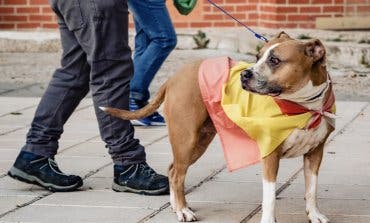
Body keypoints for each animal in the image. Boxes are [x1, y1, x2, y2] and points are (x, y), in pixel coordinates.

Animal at [101, 31, 336, 223]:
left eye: (274, 60)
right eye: (257, 57)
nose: (244, 74)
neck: (305, 107)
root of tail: (174, 77)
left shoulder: (315, 153)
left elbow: (312, 189)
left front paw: (314, 214)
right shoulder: (271, 155)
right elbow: (269, 197)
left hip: (198, 141)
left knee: (173, 169)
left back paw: (176, 206)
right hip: (186, 139)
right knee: (177, 175)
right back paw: (183, 210)